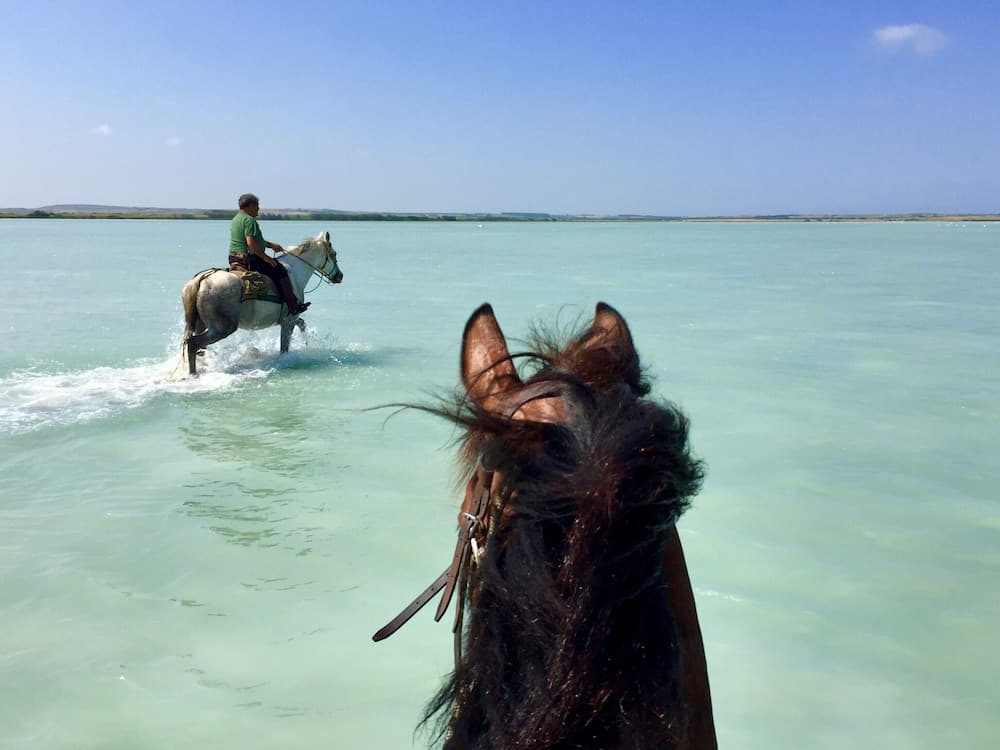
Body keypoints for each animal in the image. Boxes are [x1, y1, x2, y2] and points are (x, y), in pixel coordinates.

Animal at [174, 231, 343, 377]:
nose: (339, 276)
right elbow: (284, 348)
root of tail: (202, 278)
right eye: (334, 254)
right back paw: (193, 374)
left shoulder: (292, 318)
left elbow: (302, 324)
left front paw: (305, 343)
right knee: (193, 344)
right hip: (221, 328)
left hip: (201, 324)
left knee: (198, 348)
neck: (295, 273)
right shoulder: (288, 320)